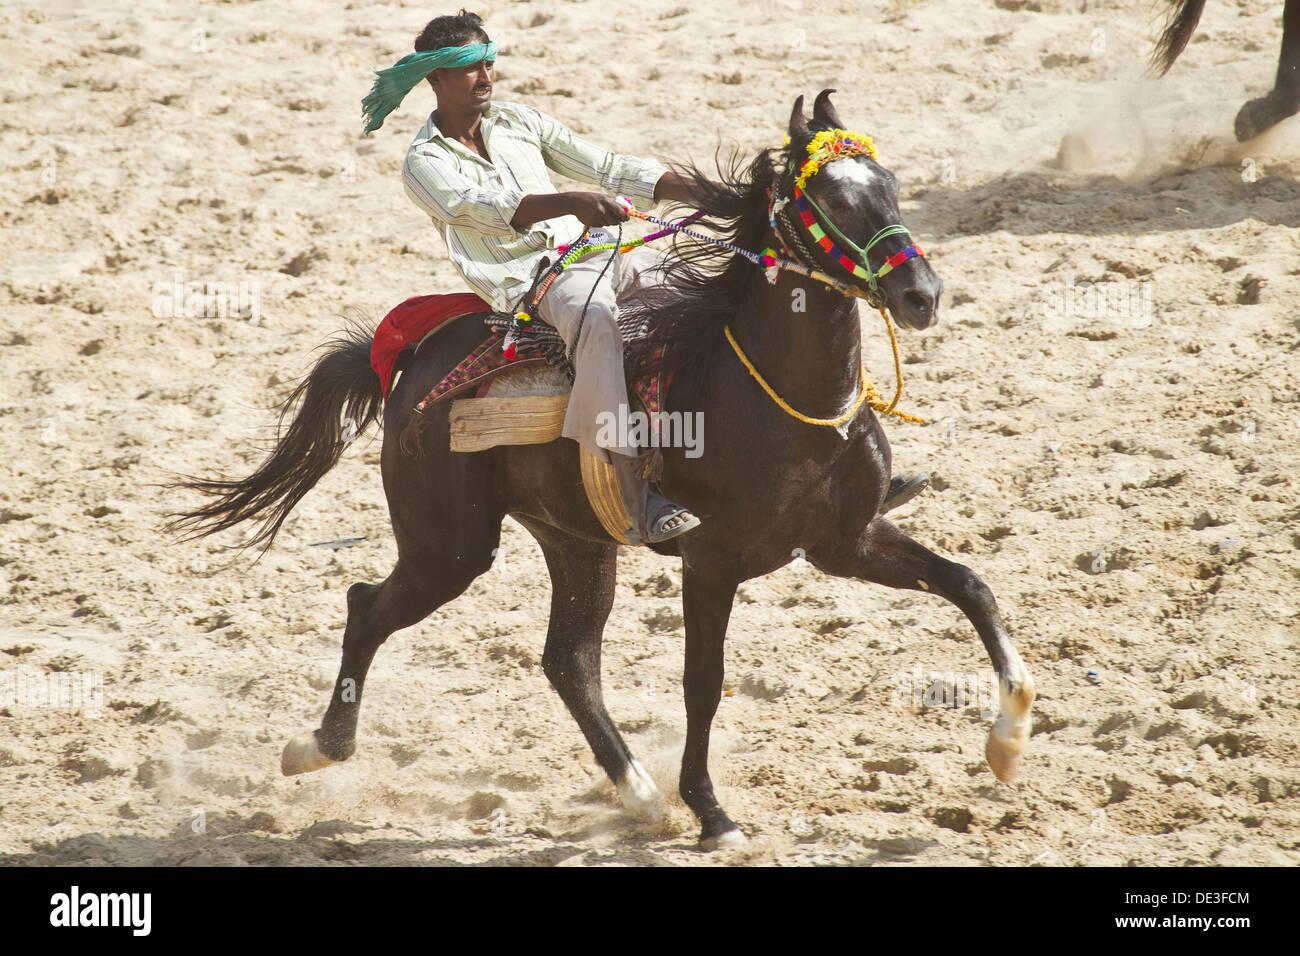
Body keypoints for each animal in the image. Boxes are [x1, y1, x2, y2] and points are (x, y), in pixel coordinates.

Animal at [170, 91, 1034, 853]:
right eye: (828, 198)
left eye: (888, 185)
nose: (921, 294)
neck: (774, 397)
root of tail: (409, 361)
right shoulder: (710, 561)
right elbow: (703, 681)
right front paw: (713, 814)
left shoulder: (845, 543)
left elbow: (969, 584)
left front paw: (1009, 738)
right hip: (449, 549)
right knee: (368, 608)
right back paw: (318, 748)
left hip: (576, 541)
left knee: (569, 662)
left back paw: (639, 794)